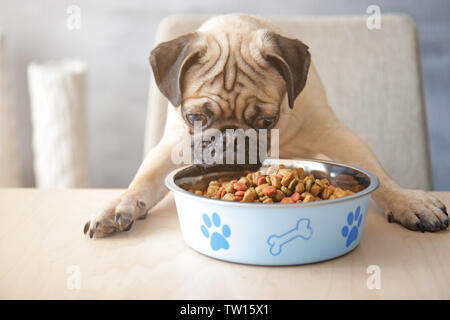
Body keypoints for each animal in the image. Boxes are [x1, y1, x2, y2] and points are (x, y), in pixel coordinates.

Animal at [83, 13, 446, 238]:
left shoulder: (334, 134)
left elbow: (380, 175)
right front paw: (119, 205)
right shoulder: (174, 145)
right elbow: (143, 179)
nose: (231, 140)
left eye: (266, 121)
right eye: (196, 118)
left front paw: (409, 201)